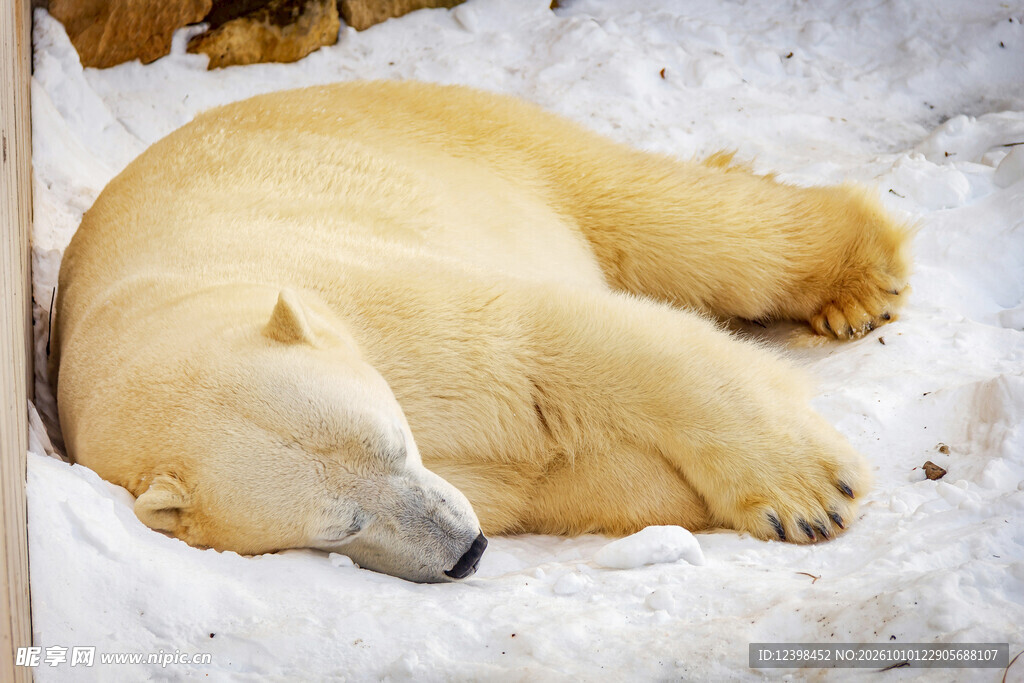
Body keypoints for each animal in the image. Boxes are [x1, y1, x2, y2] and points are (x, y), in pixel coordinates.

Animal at [51, 80, 910, 582]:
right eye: (341, 523)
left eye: (393, 441)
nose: (467, 550)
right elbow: (563, 473)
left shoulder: (377, 295)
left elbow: (566, 342)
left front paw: (809, 495)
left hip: (483, 139)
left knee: (677, 222)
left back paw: (858, 282)